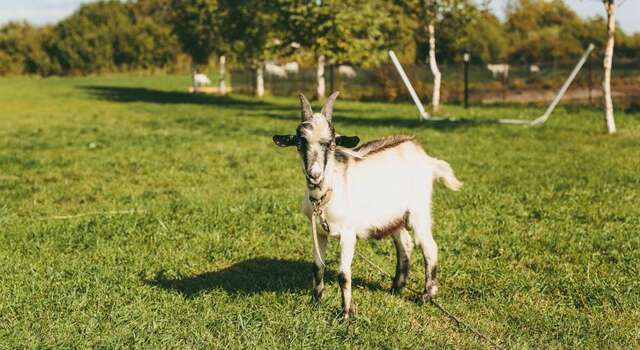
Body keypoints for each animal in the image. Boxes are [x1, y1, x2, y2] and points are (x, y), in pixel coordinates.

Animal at [272, 91, 462, 318]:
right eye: (300, 143)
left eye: (332, 144)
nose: (314, 175)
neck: (327, 194)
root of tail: (425, 157)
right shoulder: (318, 231)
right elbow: (317, 267)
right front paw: (315, 300)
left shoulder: (348, 232)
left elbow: (343, 274)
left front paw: (346, 313)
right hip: (394, 216)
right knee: (405, 244)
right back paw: (397, 286)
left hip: (419, 210)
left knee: (429, 246)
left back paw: (427, 295)